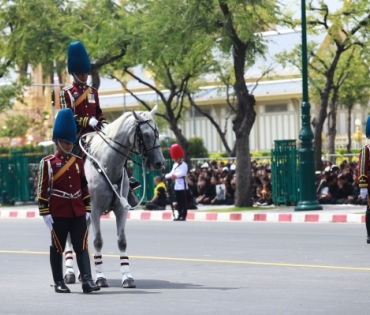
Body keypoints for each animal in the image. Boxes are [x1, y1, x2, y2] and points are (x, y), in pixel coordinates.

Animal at [63, 107, 163, 288]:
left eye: (157, 133)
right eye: (145, 134)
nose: (160, 162)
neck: (106, 165)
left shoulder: (121, 209)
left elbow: (122, 241)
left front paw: (127, 277)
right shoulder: (95, 210)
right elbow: (98, 241)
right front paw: (100, 277)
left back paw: (82, 274)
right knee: (69, 238)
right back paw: (70, 273)